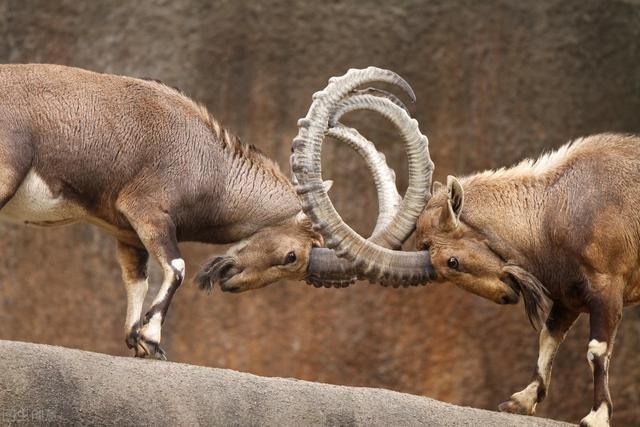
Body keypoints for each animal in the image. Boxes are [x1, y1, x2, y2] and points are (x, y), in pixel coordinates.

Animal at [0, 66, 436, 362]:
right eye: (291, 256)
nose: (230, 279)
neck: (212, 166)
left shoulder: (125, 231)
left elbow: (136, 279)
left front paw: (136, 341)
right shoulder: (147, 211)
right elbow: (176, 267)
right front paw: (153, 340)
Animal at [410, 135, 640, 427]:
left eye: (452, 261)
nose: (505, 296)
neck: (551, 210)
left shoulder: (607, 288)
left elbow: (596, 351)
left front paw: (596, 416)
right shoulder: (569, 297)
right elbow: (548, 336)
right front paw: (522, 400)